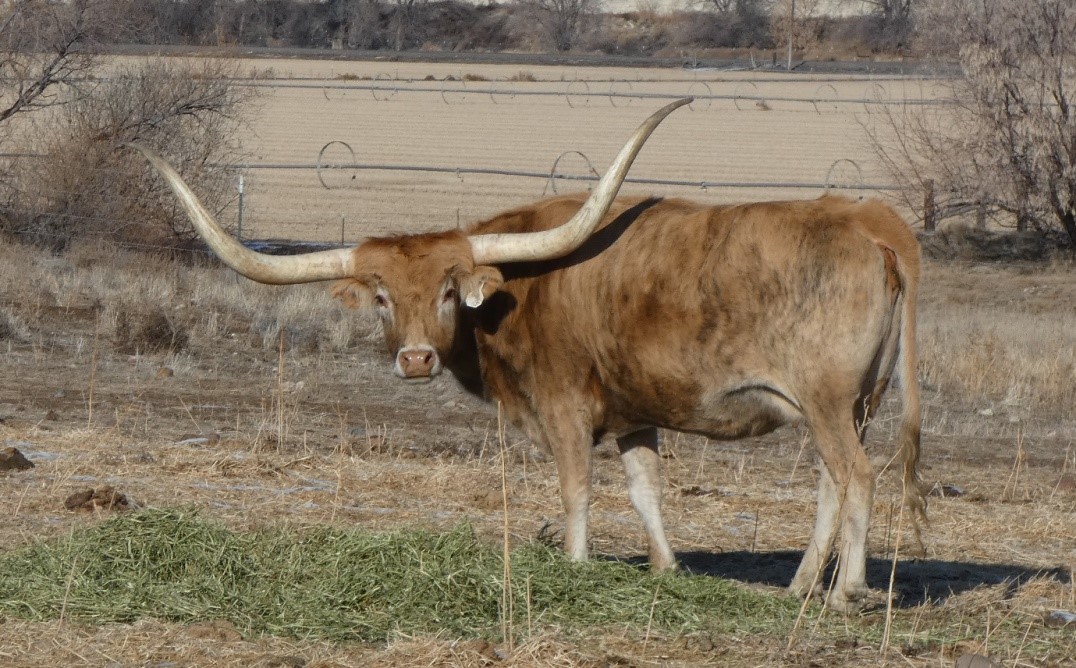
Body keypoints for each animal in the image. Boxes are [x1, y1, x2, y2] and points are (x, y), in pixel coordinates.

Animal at [129, 97, 926, 613]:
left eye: (450, 290)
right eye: (382, 296)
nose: (415, 360)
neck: (523, 289)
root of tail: (871, 220)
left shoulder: (564, 407)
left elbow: (576, 489)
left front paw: (574, 567)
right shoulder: (635, 413)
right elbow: (646, 489)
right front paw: (665, 570)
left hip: (828, 401)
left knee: (857, 478)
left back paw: (846, 592)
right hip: (853, 404)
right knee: (832, 484)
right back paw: (799, 586)